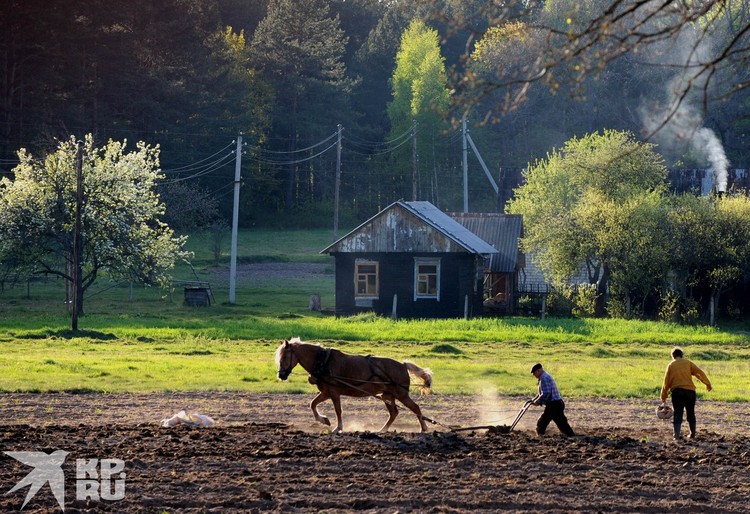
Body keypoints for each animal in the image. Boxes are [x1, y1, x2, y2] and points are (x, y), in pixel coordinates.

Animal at [274, 336, 434, 432]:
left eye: (285, 356)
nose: (281, 375)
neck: (323, 361)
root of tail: (402, 365)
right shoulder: (326, 392)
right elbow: (312, 404)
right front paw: (324, 420)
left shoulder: (334, 392)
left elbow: (338, 410)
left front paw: (338, 428)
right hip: (387, 395)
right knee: (394, 412)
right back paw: (382, 430)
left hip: (401, 394)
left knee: (415, 408)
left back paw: (423, 429)